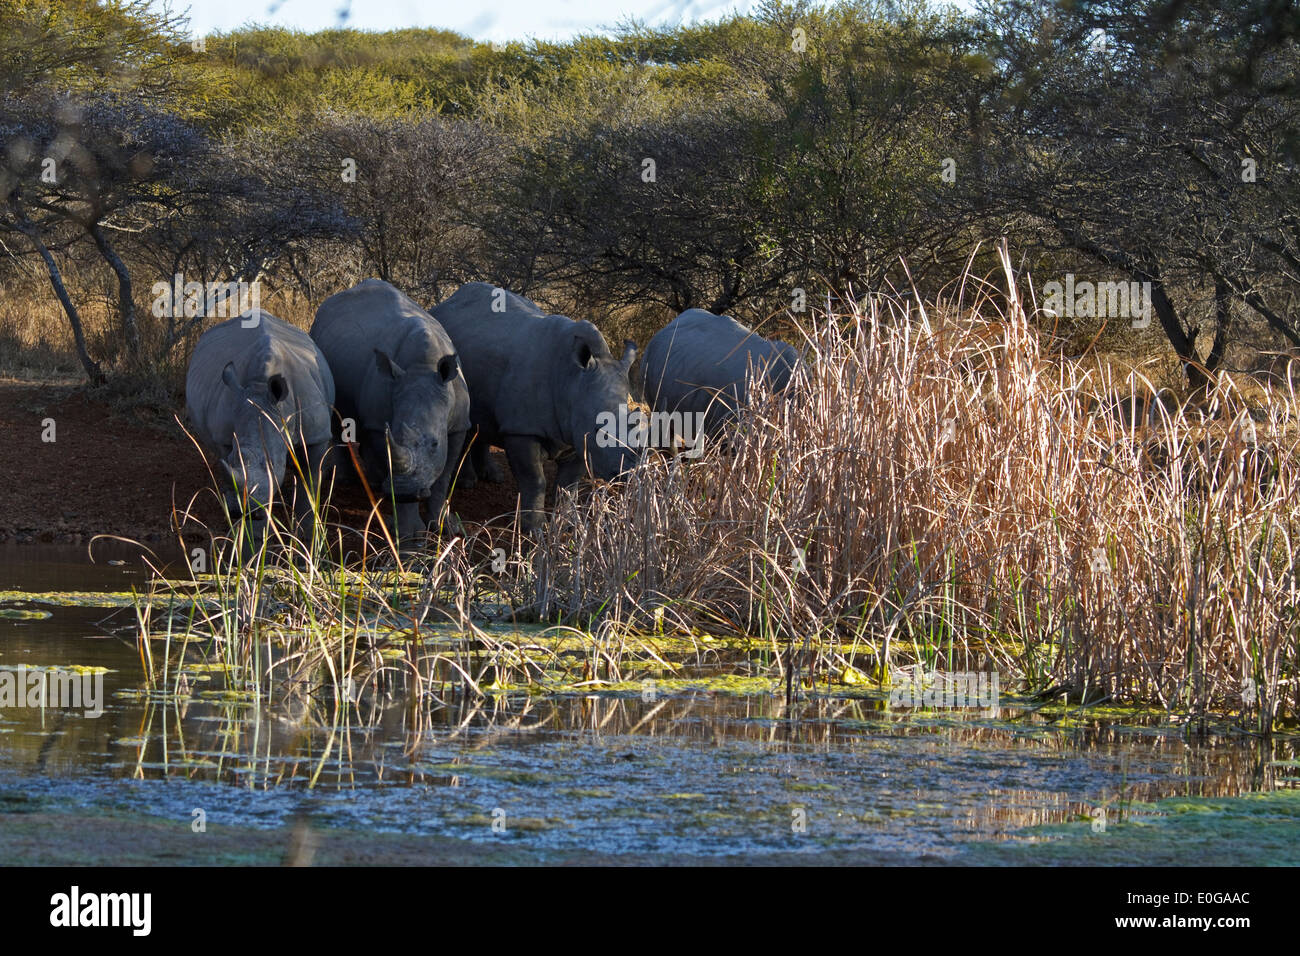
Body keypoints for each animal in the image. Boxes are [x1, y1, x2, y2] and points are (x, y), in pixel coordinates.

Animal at [185, 312, 335, 546]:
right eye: (233, 459)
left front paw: (308, 534)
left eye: (272, 464)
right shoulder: (224, 434)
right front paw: (253, 533)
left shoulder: (316, 435)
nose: (242, 511)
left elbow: (310, 481)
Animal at [309, 280, 473, 541]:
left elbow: (444, 478)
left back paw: (376, 483)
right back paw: (350, 480)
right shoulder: (379, 424)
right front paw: (409, 534)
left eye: (435, 444)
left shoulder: (459, 425)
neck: (423, 367)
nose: (406, 490)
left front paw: (443, 527)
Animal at [431, 280, 639, 528]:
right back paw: (468, 483)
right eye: (601, 431)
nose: (627, 473)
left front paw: (567, 524)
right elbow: (535, 480)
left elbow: (569, 483)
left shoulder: (577, 432)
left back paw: (493, 477)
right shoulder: (522, 429)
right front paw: (533, 528)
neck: (572, 381)